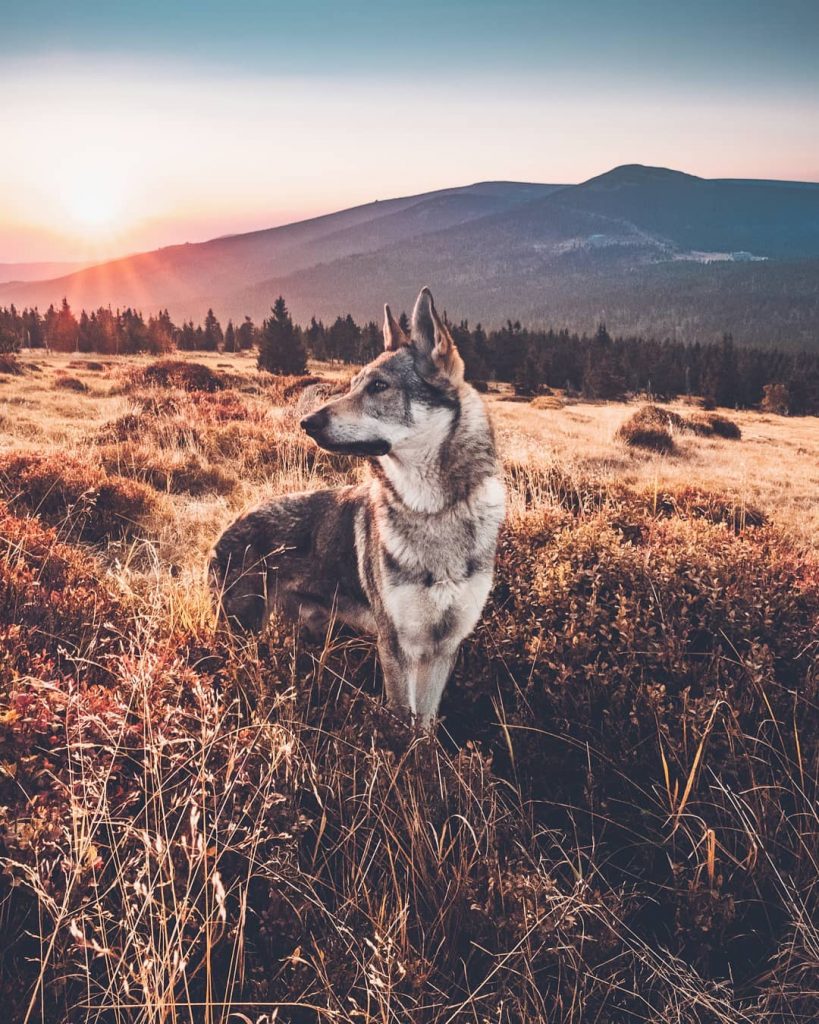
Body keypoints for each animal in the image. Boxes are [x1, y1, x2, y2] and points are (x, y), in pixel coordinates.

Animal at [210, 287, 505, 725]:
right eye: (353, 385)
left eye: (379, 386)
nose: (307, 422)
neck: (432, 512)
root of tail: (226, 528)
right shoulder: (397, 647)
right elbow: (404, 728)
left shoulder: (443, 649)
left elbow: (425, 729)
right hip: (238, 632)